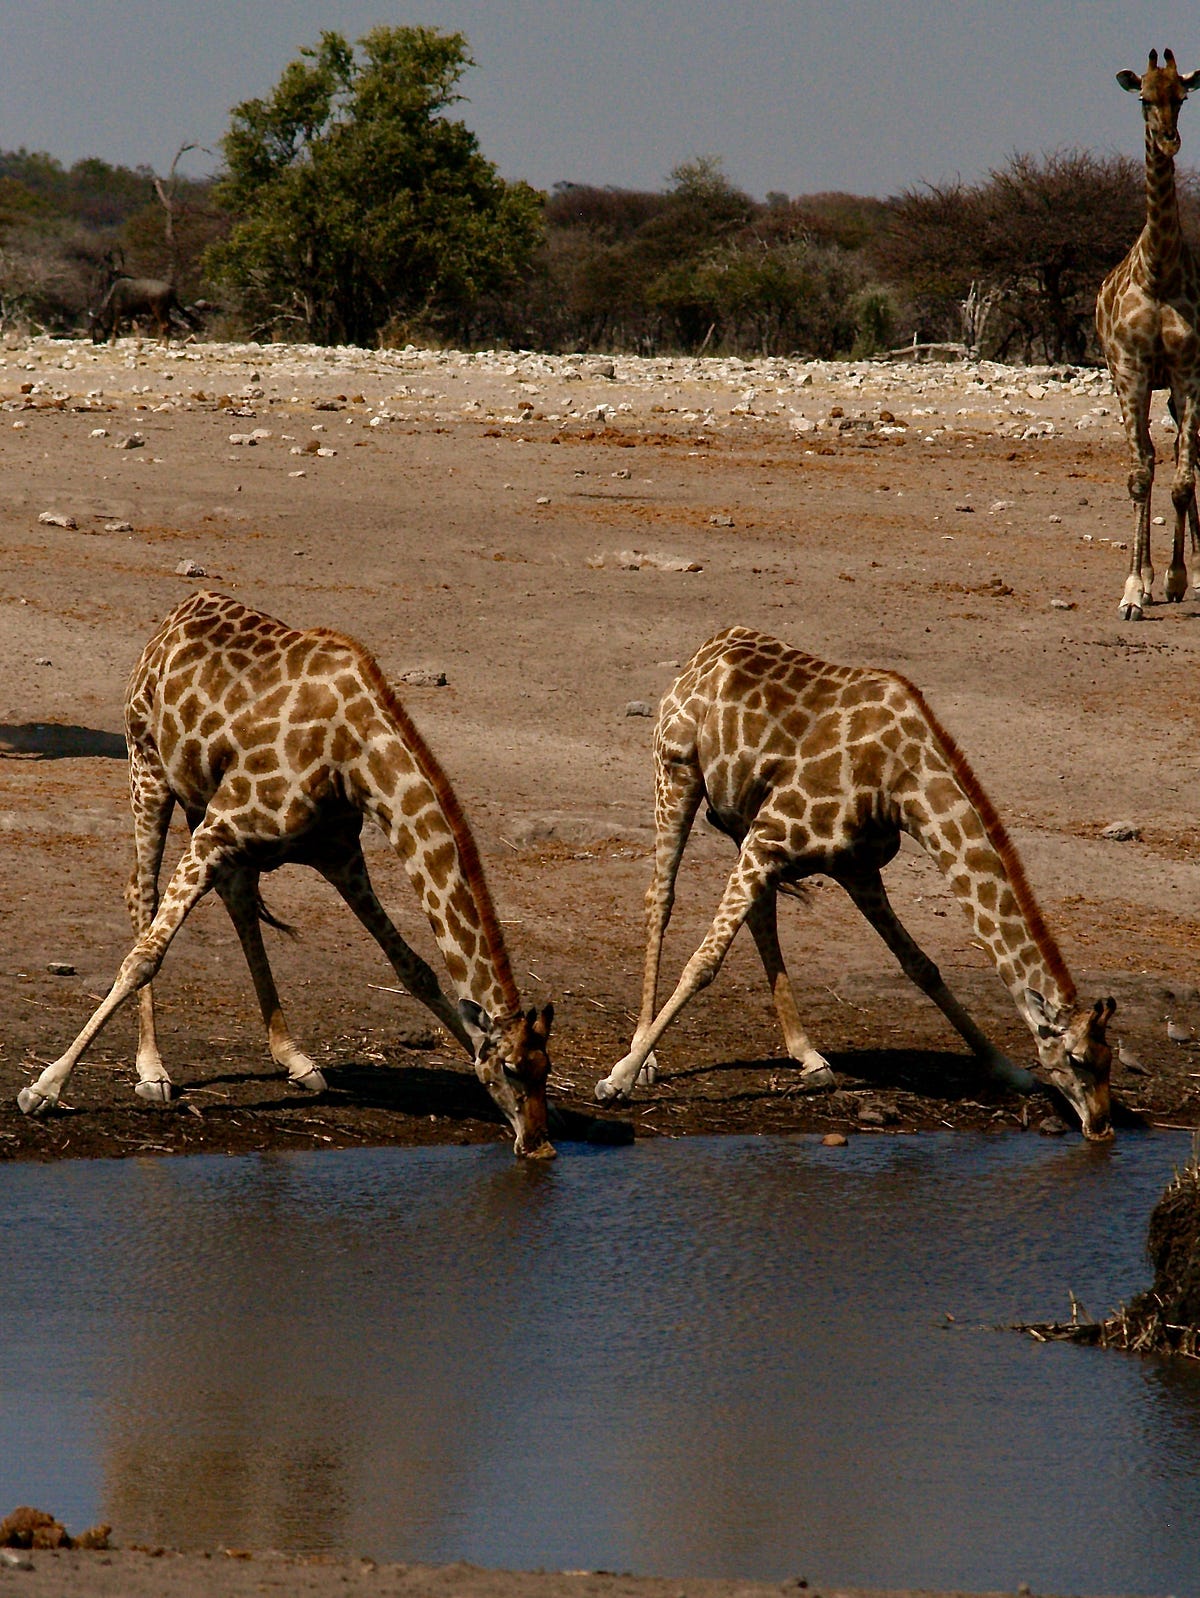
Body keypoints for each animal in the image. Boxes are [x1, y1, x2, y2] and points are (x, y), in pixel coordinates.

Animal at [17, 591, 556, 1158]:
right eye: (513, 1069)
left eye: (546, 1069)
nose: (540, 1143)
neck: (355, 756)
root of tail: (176, 615)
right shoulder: (219, 831)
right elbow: (144, 958)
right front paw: (44, 1087)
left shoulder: (338, 854)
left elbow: (413, 967)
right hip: (148, 767)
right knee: (140, 893)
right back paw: (153, 1070)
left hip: (206, 806)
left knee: (236, 898)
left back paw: (295, 1058)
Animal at [594, 628, 1115, 1141]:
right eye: (1077, 1060)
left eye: (1110, 1060)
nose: (1102, 1126)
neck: (902, 782)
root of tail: (707, 650)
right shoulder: (771, 837)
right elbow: (703, 964)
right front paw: (618, 1078)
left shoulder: (855, 867)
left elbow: (921, 966)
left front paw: (1006, 1069)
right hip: (677, 773)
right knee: (660, 898)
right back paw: (644, 1055)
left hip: (743, 821)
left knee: (762, 916)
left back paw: (808, 1056)